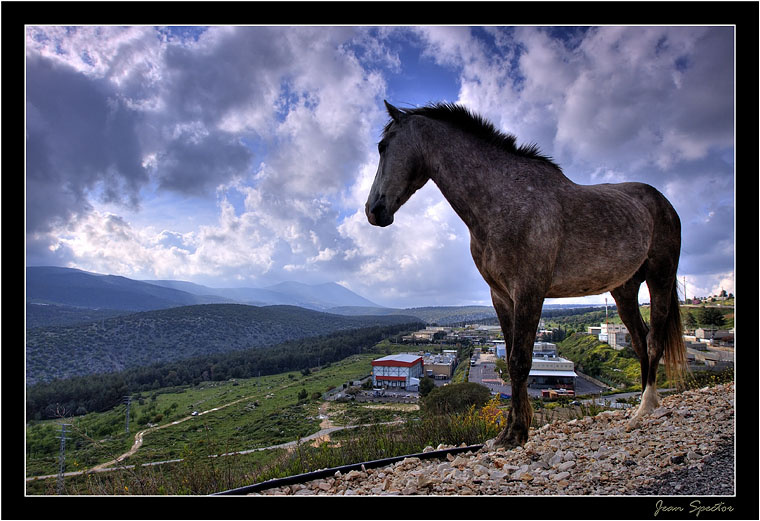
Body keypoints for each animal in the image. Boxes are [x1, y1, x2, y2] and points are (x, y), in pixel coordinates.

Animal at [366, 101, 686, 448]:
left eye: (383, 146)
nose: (373, 210)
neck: (502, 200)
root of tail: (664, 203)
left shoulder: (530, 290)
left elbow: (521, 361)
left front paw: (517, 433)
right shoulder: (501, 296)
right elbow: (510, 361)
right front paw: (507, 433)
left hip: (661, 276)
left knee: (654, 340)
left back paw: (646, 407)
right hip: (624, 288)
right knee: (639, 340)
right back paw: (641, 406)